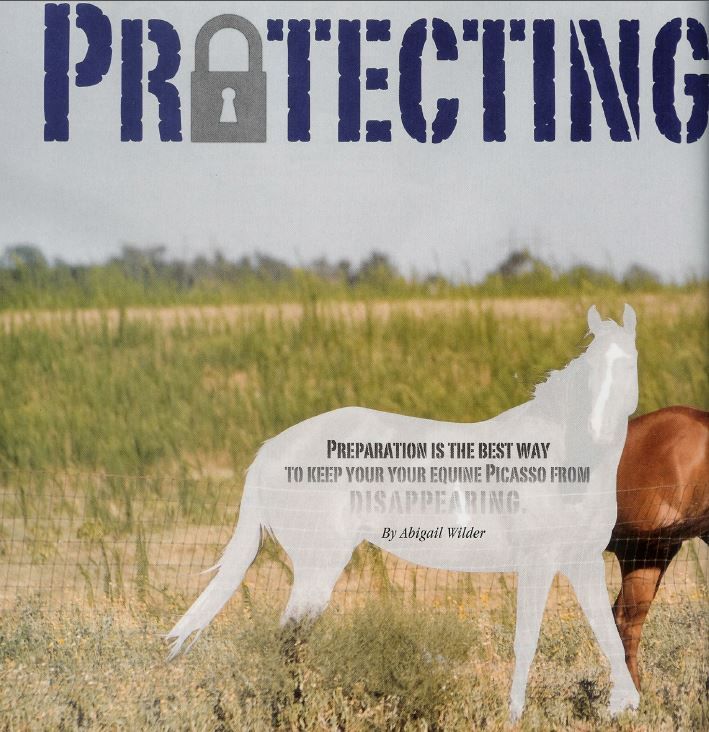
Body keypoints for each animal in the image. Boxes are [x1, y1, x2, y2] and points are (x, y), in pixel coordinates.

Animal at [166, 304, 641, 720]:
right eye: (591, 370)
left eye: (626, 366)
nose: (599, 431)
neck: (564, 461)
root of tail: (270, 450)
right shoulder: (537, 562)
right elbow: (527, 641)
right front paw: (515, 715)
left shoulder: (582, 563)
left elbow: (611, 635)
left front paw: (627, 706)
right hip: (318, 567)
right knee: (288, 640)